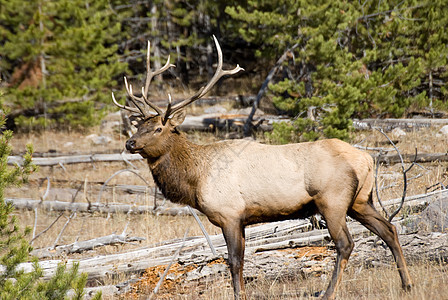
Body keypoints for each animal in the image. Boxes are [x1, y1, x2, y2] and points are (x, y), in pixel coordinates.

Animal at [112, 36, 412, 298]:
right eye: (139, 125)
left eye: (159, 128)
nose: (130, 142)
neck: (195, 179)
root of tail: (367, 159)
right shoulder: (243, 219)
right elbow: (240, 260)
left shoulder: (229, 213)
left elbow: (234, 260)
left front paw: (238, 295)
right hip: (360, 200)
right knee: (389, 229)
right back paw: (406, 284)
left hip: (333, 200)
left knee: (345, 244)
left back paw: (328, 293)